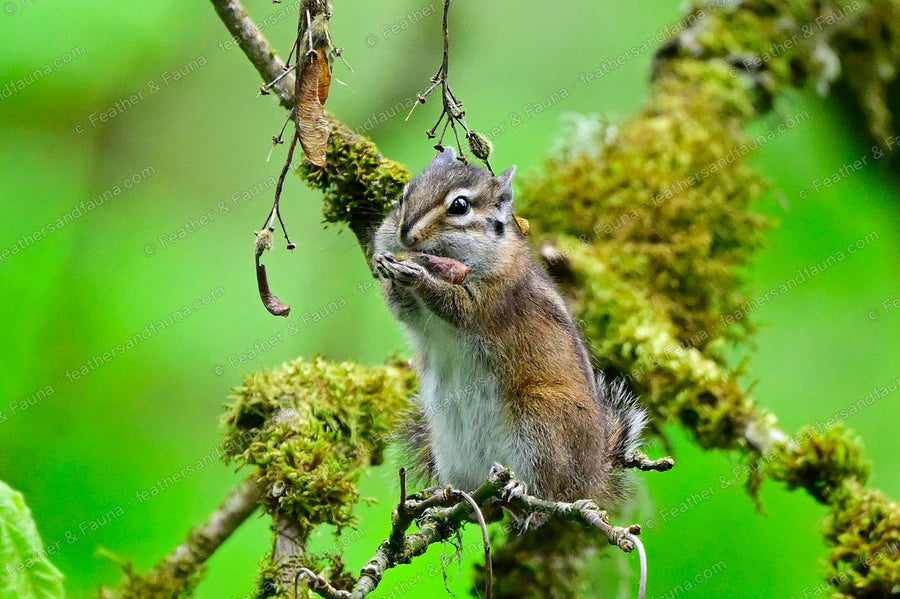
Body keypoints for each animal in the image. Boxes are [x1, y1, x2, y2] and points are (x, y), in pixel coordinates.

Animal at [372, 147, 651, 505]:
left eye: (459, 206)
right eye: (403, 196)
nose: (405, 234)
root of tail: (592, 479)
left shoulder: (495, 293)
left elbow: (458, 308)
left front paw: (415, 274)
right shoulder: (418, 316)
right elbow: (404, 312)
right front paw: (387, 269)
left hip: (539, 419)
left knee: (547, 490)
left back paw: (522, 488)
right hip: (447, 445)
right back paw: (446, 495)